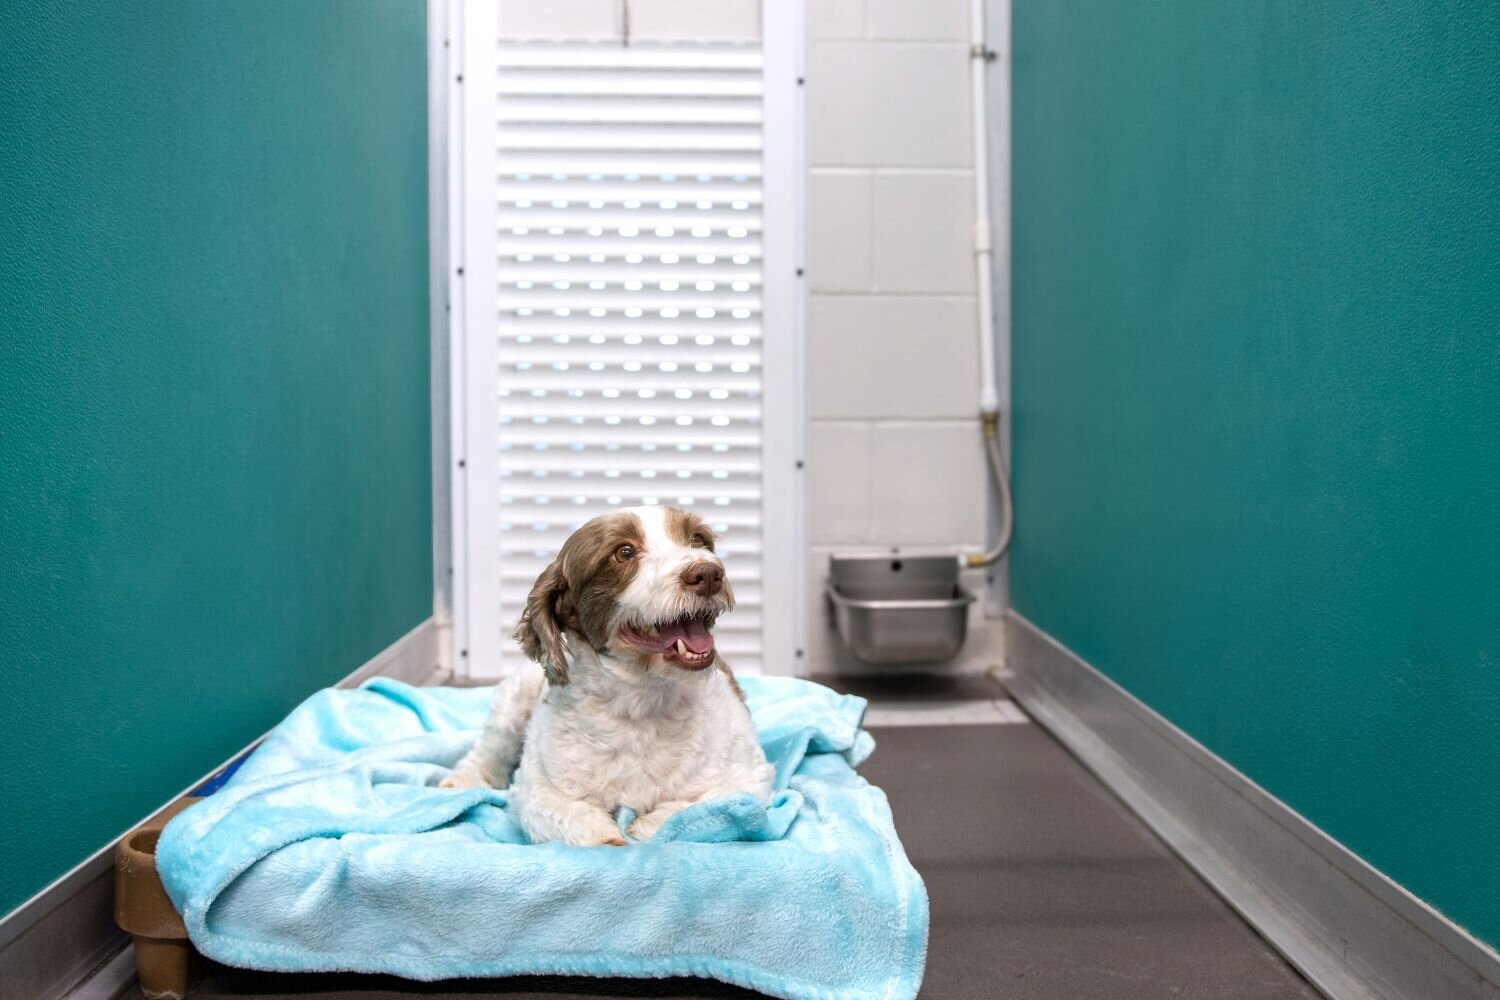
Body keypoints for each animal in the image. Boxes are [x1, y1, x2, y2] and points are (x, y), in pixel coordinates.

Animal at [440, 505, 775, 846]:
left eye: (698, 539)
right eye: (624, 552)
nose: (707, 574)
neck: (641, 705)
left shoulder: (747, 777)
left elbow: (690, 810)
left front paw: (641, 825)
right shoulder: (537, 790)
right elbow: (586, 828)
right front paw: (613, 835)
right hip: (514, 700)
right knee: (488, 749)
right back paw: (461, 780)